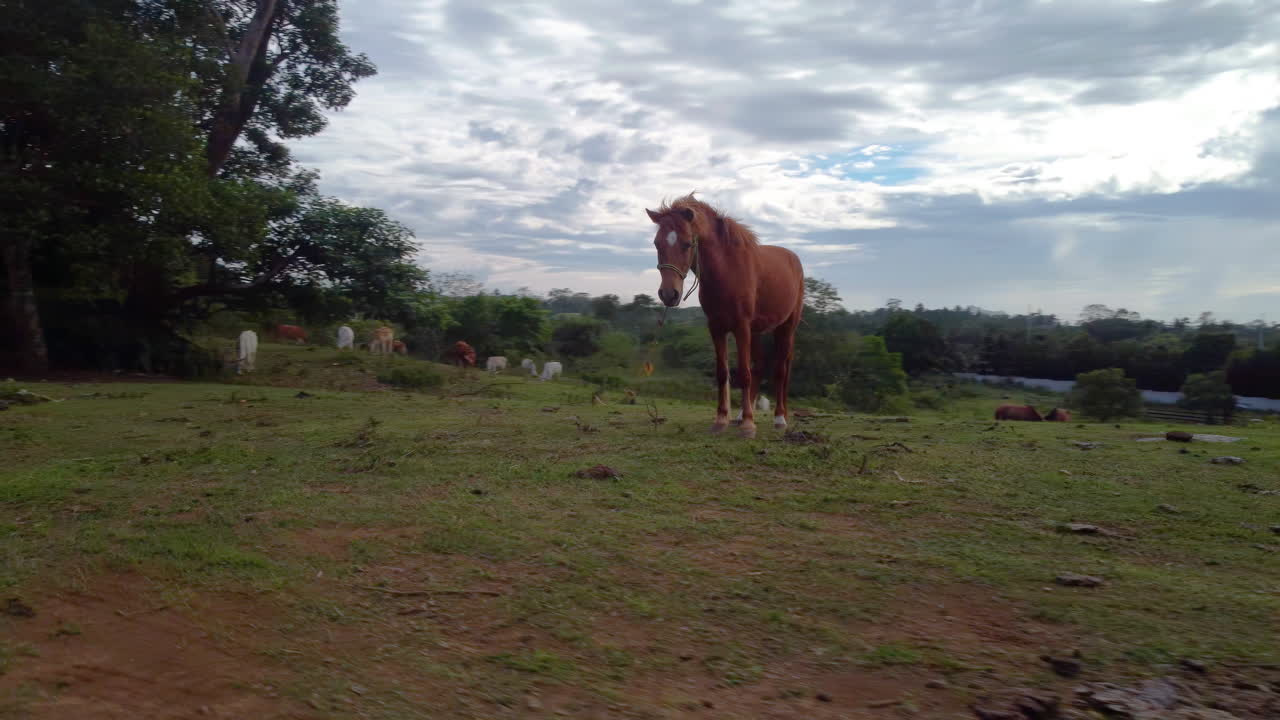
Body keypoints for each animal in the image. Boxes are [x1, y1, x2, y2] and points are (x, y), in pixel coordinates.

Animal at [647, 192, 804, 438]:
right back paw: (740, 416)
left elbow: (744, 373)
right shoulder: (717, 327)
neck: (728, 270)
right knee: (760, 367)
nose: (669, 294)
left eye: (687, 243)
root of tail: (794, 259)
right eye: (657, 243)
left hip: (786, 327)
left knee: (780, 370)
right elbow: (723, 373)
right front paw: (722, 419)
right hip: (756, 331)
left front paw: (749, 426)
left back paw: (780, 418)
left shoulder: (741, 326)